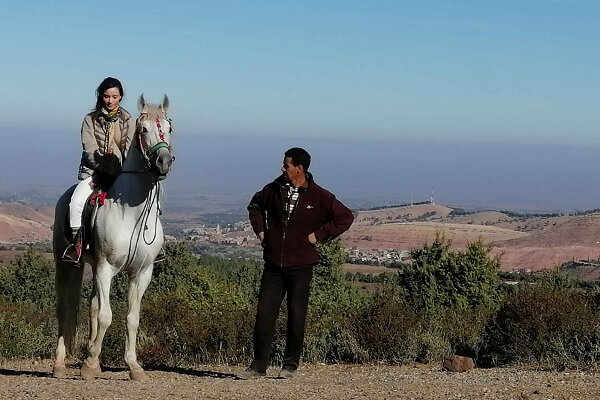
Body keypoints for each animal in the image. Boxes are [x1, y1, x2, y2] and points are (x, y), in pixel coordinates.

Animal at [51, 94, 175, 382]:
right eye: (143, 130)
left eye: (169, 127)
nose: (164, 162)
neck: (131, 214)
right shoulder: (106, 267)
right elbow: (107, 316)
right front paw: (88, 365)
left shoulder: (141, 273)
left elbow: (132, 317)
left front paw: (133, 366)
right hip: (66, 265)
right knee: (65, 308)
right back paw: (60, 365)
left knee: (93, 306)